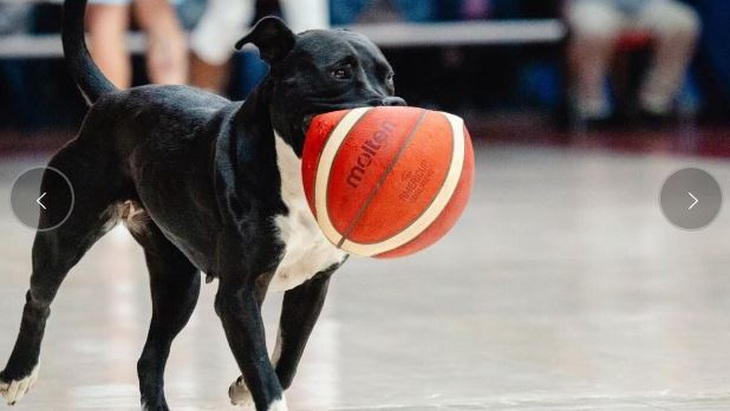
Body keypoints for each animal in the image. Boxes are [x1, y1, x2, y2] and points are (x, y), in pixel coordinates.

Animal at [0, 1, 404, 410]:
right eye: (339, 72)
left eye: (389, 78)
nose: (395, 104)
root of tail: (111, 99)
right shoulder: (239, 296)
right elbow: (266, 375)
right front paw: (253, 385)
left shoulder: (312, 285)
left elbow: (286, 361)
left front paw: (243, 385)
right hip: (65, 236)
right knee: (38, 298)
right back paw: (17, 375)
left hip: (178, 282)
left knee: (150, 358)